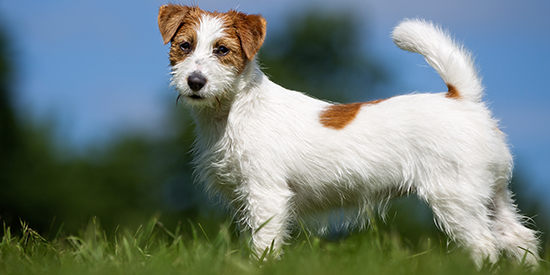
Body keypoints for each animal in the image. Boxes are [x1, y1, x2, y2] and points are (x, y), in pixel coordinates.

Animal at [157, 3, 540, 268]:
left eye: (222, 50)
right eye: (184, 46)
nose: (195, 82)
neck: (234, 109)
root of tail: (462, 99)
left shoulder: (266, 195)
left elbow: (264, 244)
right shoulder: (245, 199)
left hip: (455, 198)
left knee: (484, 245)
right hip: (492, 195)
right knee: (519, 238)